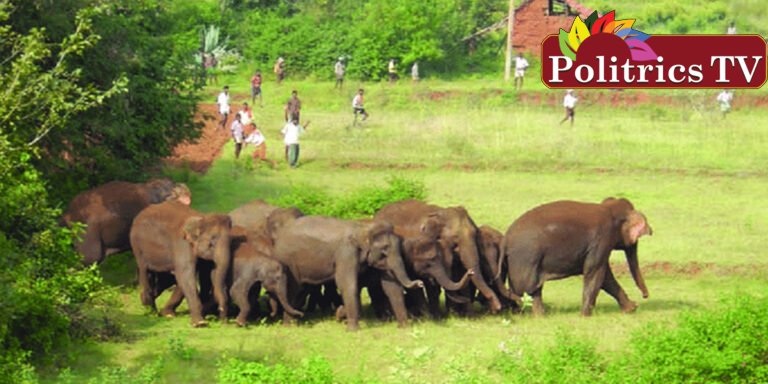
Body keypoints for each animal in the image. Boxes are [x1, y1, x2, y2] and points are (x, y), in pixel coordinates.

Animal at [272, 216, 426, 330]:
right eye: (384, 250)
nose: (420, 283)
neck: (363, 228)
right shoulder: (345, 253)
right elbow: (347, 284)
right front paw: (352, 328)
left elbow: (391, 287)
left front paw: (404, 328)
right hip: (287, 260)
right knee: (293, 289)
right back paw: (289, 326)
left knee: (302, 291)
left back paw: (291, 323)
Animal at [504, 196, 656, 316]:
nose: (645, 296)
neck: (609, 208)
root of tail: (506, 238)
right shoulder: (602, 239)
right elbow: (595, 272)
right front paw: (585, 315)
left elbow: (605, 276)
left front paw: (630, 309)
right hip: (525, 260)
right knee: (525, 288)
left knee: (532, 290)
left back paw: (539, 316)